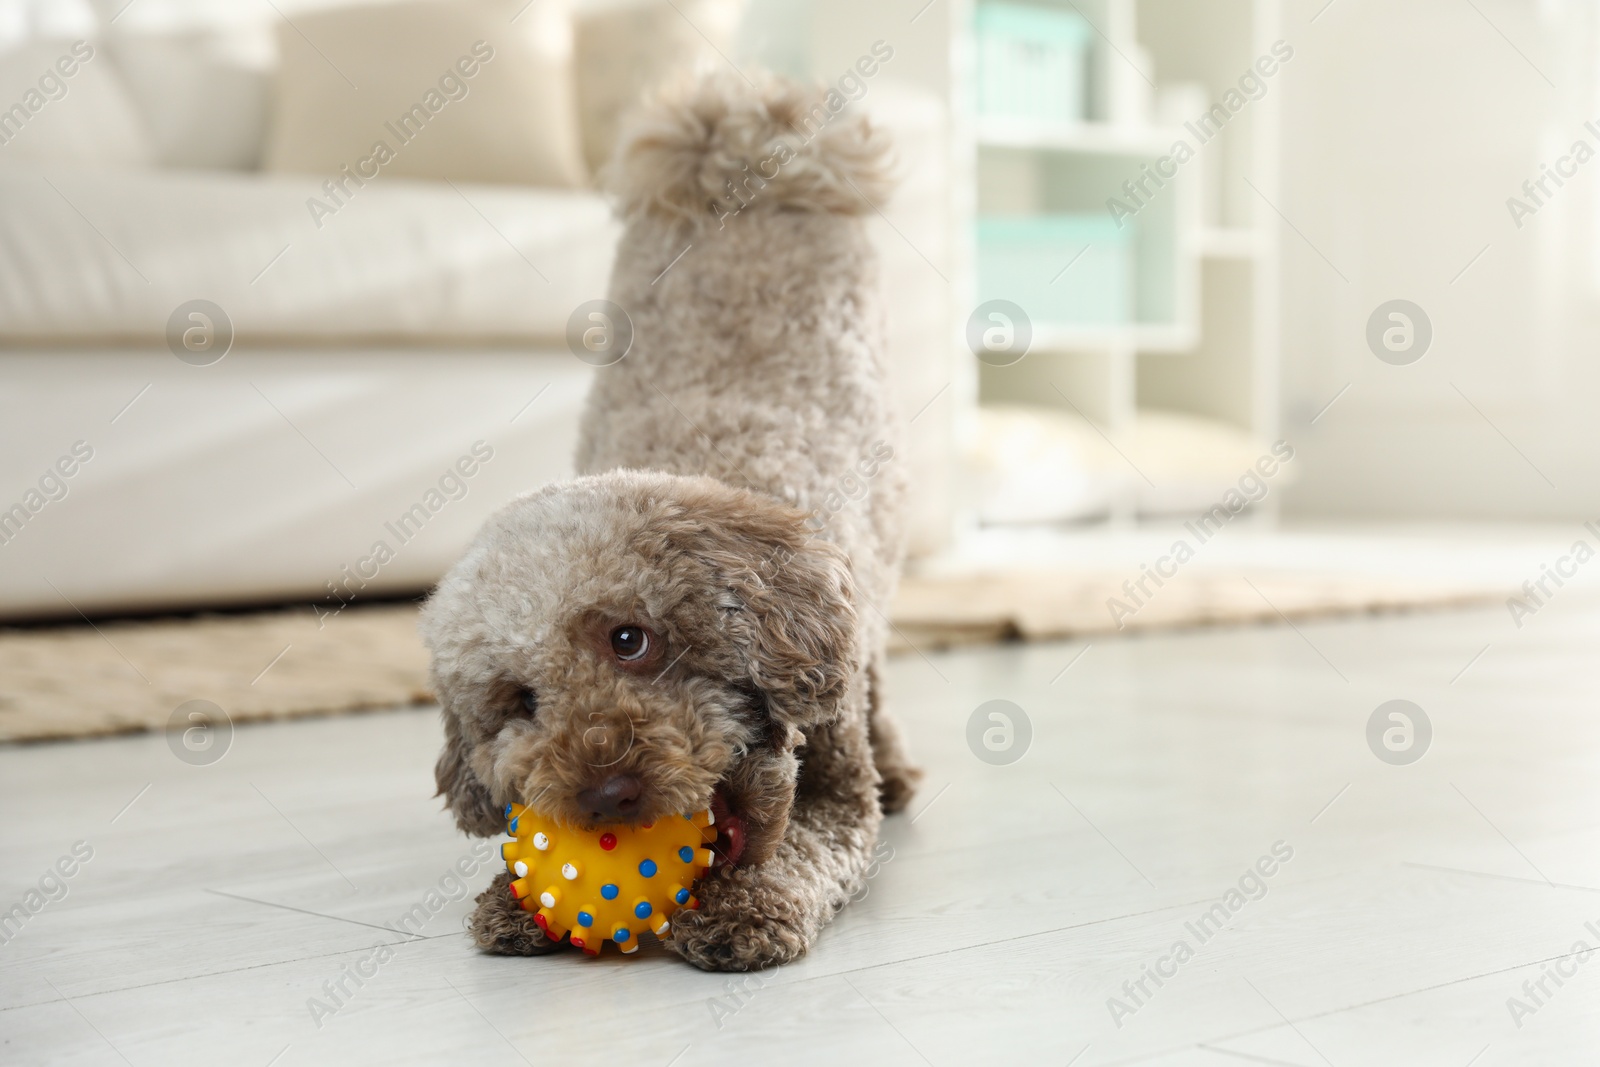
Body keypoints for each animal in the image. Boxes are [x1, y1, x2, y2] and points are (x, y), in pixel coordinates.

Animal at [419, 70, 921, 972]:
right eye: (518, 700)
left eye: (631, 638)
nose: (607, 792)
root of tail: (738, 135)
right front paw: (509, 896)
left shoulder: (832, 778)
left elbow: (807, 844)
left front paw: (745, 906)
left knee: (877, 658)